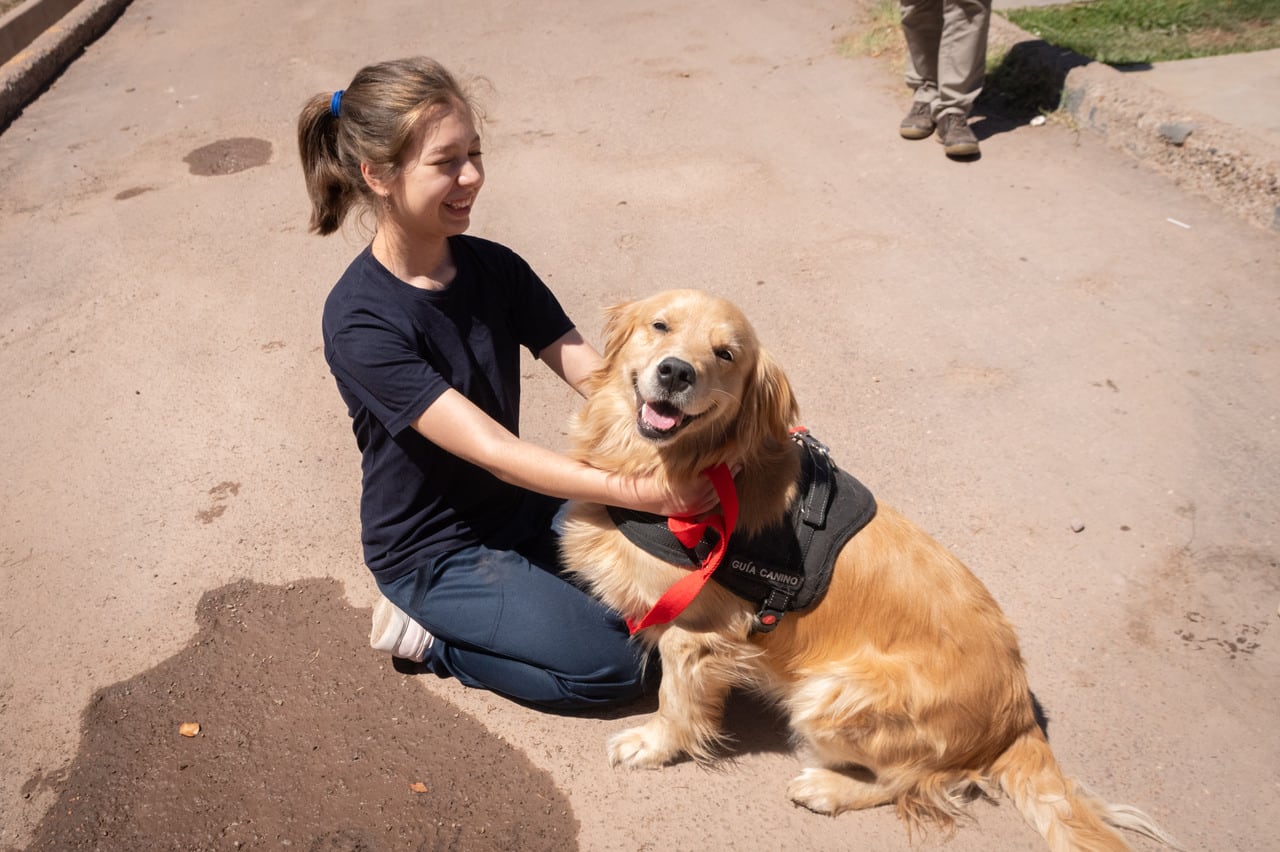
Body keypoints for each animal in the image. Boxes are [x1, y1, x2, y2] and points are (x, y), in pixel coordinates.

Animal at [565, 289, 1172, 844]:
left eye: (726, 354)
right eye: (660, 326)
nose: (676, 371)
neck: (695, 467)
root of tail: (1018, 710)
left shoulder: (696, 633)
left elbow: (676, 700)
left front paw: (652, 744)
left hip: (832, 695)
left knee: (917, 781)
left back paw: (827, 788)